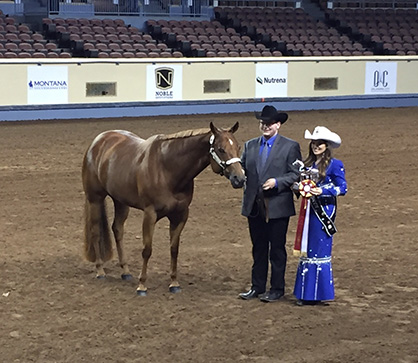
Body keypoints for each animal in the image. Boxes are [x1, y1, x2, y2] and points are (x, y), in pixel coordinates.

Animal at [81, 122, 245, 296]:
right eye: (221, 149)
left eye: (238, 147)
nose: (240, 178)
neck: (167, 169)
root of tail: (98, 141)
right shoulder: (150, 214)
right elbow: (147, 250)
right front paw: (142, 285)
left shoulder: (180, 215)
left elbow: (174, 249)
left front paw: (174, 283)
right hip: (95, 199)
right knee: (95, 231)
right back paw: (100, 271)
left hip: (121, 201)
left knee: (117, 229)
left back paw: (125, 271)